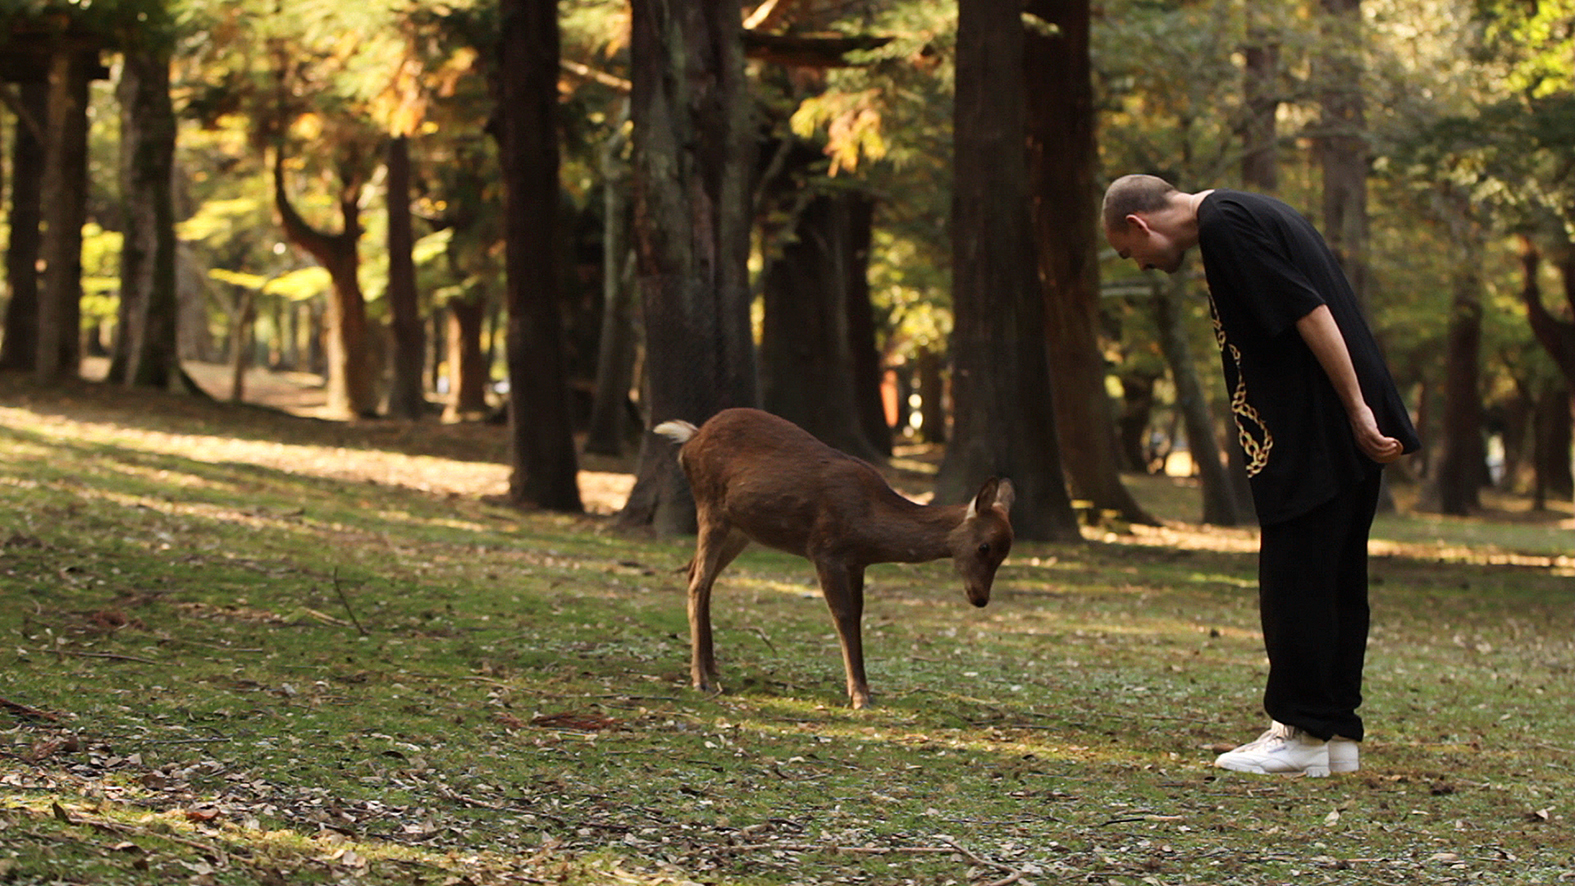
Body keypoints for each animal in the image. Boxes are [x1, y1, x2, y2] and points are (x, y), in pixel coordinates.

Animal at [653, 407, 1015, 709]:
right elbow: (842, 616)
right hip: (711, 508)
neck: (869, 524)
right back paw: (700, 679)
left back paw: (712, 667)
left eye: (1005, 552)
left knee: (698, 575)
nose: (980, 598)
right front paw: (859, 696)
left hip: (741, 529)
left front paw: (865, 690)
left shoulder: (856, 562)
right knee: (697, 580)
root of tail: (690, 438)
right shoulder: (825, 550)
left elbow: (857, 616)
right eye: (985, 547)